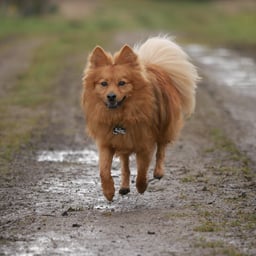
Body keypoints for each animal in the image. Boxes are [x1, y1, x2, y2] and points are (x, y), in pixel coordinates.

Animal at [81, 36, 199, 201]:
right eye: (103, 83)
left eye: (122, 83)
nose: (111, 96)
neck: (121, 116)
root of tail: (155, 66)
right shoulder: (107, 141)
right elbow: (103, 170)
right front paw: (108, 191)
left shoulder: (144, 143)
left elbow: (142, 170)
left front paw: (142, 186)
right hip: (124, 142)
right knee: (125, 164)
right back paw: (124, 186)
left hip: (164, 126)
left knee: (161, 150)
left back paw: (158, 172)